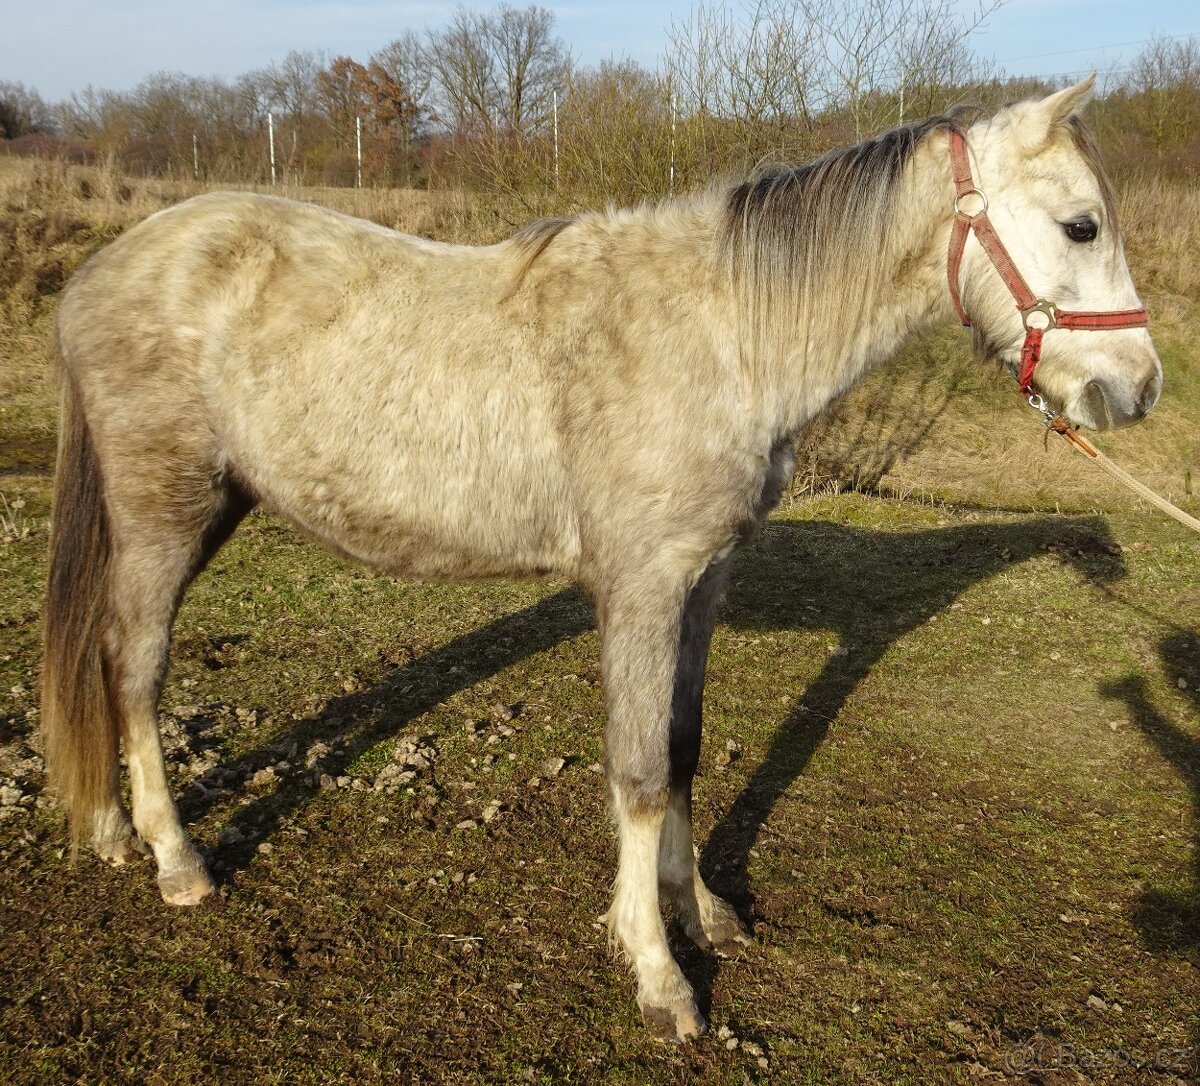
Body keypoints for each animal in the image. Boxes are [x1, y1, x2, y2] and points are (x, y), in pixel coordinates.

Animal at [42, 77, 1161, 1041]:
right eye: (1081, 226)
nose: (1136, 387)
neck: (722, 330)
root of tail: (97, 274)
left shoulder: (703, 583)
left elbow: (682, 748)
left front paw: (699, 909)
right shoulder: (643, 588)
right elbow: (636, 770)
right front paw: (659, 974)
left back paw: (110, 833)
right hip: (164, 515)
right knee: (133, 668)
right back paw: (175, 859)